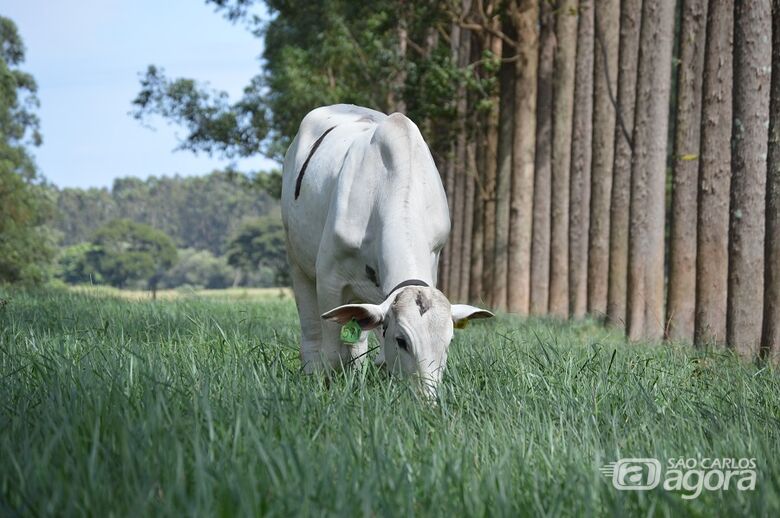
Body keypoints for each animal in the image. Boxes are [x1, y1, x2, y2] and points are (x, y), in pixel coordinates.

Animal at [282, 105, 494, 398]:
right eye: (402, 340)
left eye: (448, 342)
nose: (427, 400)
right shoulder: (329, 279)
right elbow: (333, 352)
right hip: (297, 260)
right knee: (312, 333)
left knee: (357, 341)